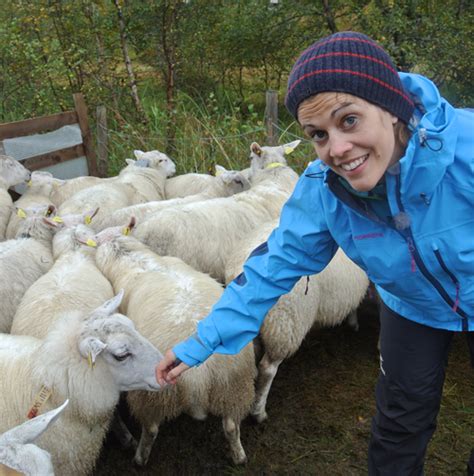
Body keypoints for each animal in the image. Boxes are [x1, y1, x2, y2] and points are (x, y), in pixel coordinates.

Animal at [92, 233, 256, 464]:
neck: (137, 261)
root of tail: (198, 374)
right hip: (232, 386)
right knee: (231, 426)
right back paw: (239, 456)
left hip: (153, 395)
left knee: (151, 429)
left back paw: (140, 458)